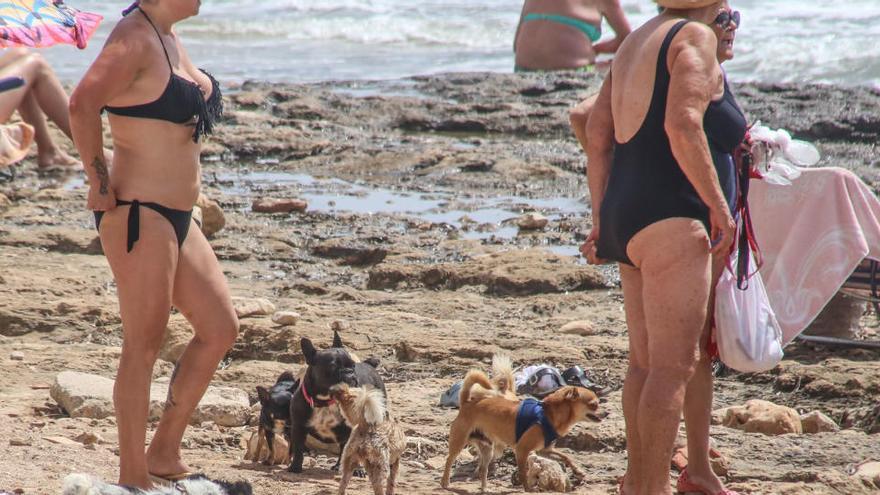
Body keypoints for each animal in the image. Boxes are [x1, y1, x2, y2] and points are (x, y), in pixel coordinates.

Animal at [288, 332, 384, 474]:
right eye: (333, 366)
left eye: (353, 365)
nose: (350, 373)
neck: (326, 401)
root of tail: (369, 365)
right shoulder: (298, 427)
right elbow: (299, 449)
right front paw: (295, 467)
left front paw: (357, 470)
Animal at [440, 370, 604, 494]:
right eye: (593, 404)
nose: (606, 413)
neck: (548, 414)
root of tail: (467, 402)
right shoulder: (521, 450)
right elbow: (523, 472)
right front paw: (528, 489)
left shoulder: (545, 450)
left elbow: (565, 456)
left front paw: (578, 471)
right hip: (459, 441)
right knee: (449, 460)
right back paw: (445, 483)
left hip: (487, 449)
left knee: (483, 469)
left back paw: (485, 488)